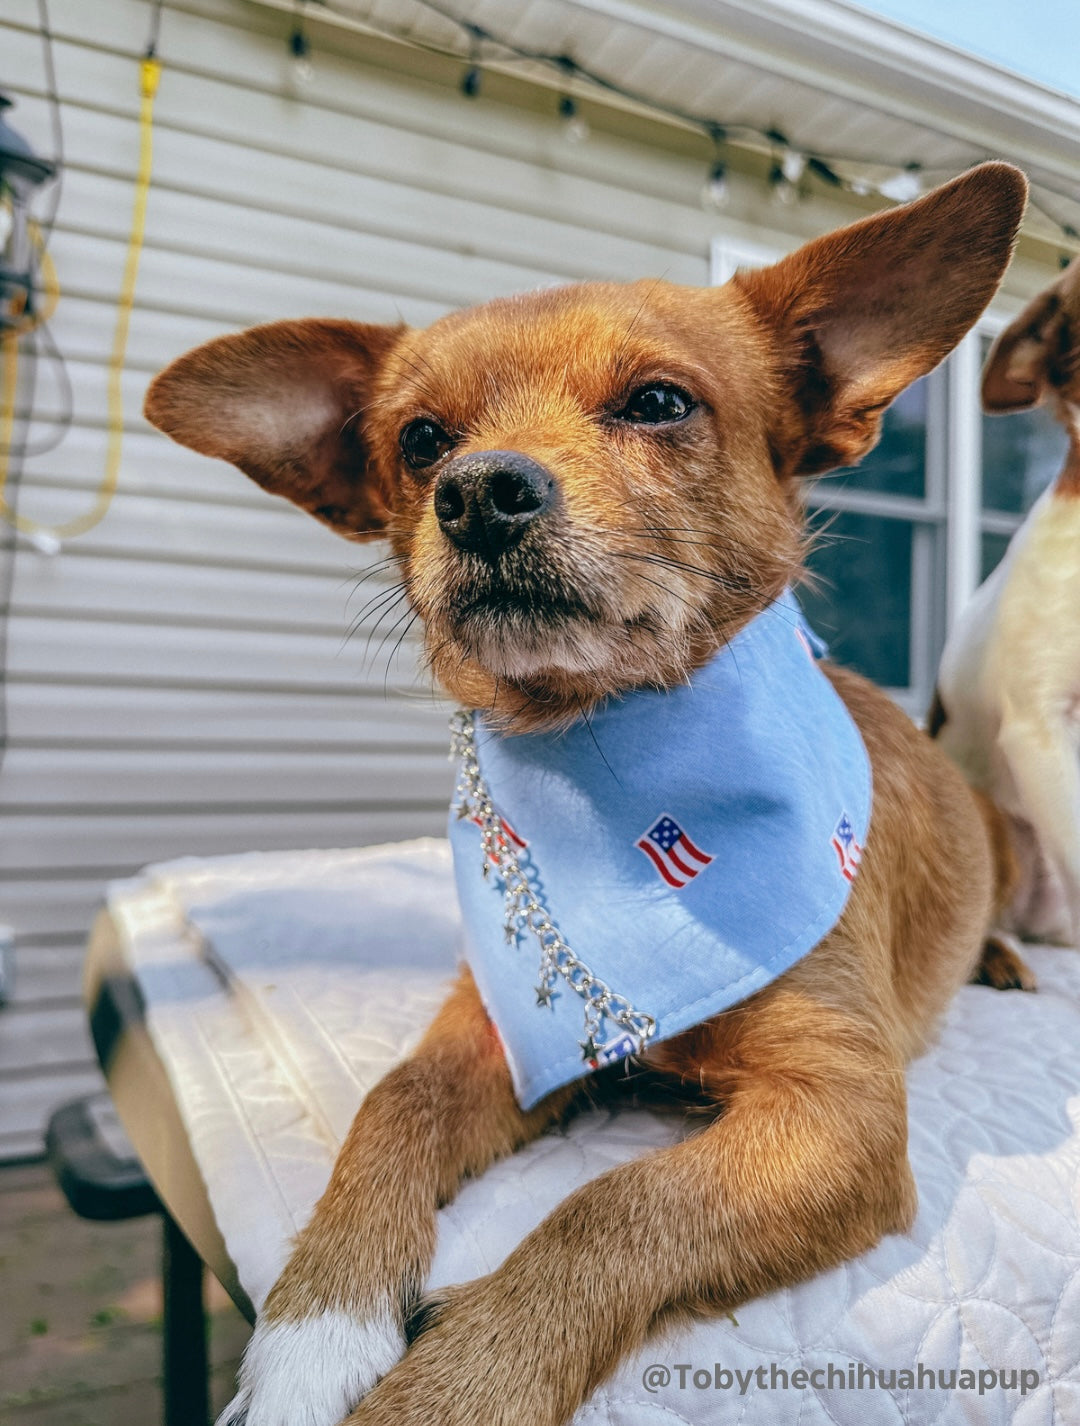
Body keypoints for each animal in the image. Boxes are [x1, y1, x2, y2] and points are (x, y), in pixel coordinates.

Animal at [145, 161, 1027, 1420]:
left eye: (660, 402)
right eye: (420, 440)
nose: (478, 491)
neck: (611, 767)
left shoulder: (838, 1110)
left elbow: (613, 1204)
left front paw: (448, 1390)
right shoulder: (493, 1030)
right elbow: (389, 1104)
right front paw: (315, 1324)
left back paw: (1002, 955)